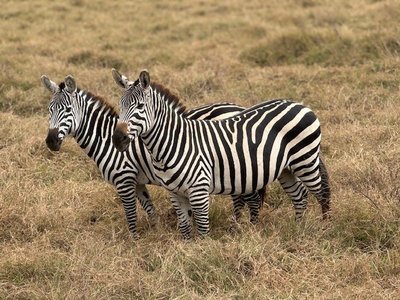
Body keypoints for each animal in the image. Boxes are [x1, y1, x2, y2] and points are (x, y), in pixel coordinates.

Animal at [40, 74, 266, 238]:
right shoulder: (138, 182)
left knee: (248, 198)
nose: (51, 141)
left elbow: (131, 214)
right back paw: (237, 226)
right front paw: (157, 231)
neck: (105, 138)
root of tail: (239, 107)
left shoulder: (124, 179)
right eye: (49, 110)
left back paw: (244, 228)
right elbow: (150, 209)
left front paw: (134, 241)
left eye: (67, 109)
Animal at [112, 68, 332, 239]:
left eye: (140, 106)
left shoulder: (199, 190)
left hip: (305, 160)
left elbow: (202, 228)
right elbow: (185, 227)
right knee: (300, 195)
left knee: (321, 193)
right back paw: (298, 228)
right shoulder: (174, 192)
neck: (173, 143)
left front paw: (203, 255)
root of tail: (299, 104)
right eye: (120, 105)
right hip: (286, 169)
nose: (117, 138)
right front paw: (188, 250)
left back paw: (324, 229)